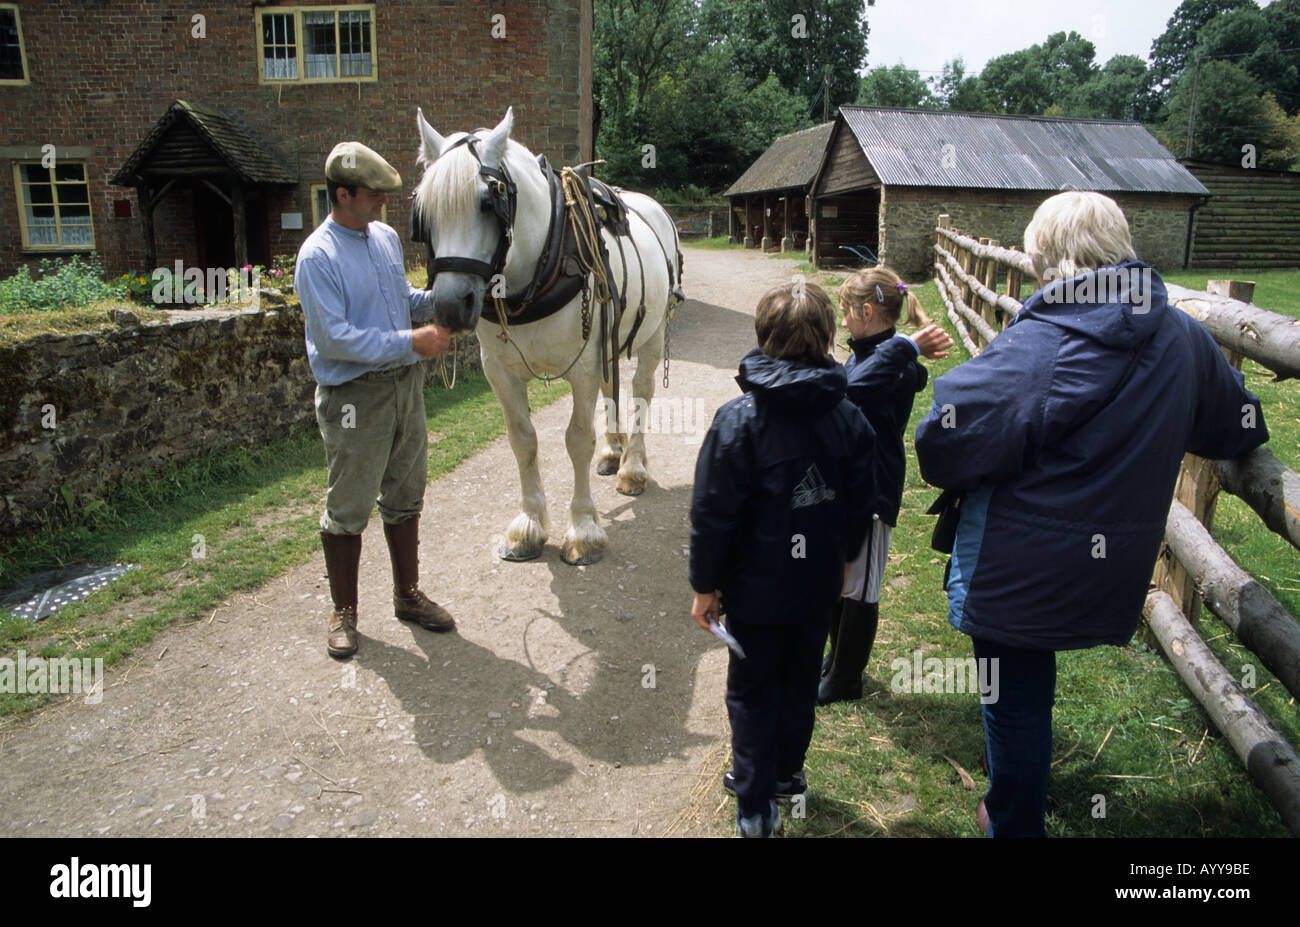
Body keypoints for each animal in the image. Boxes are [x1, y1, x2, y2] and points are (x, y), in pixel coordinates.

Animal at [413, 111, 681, 566]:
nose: (450, 306)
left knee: (642, 390)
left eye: (488, 203)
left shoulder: (582, 367)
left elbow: (577, 439)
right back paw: (614, 452)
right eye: (425, 209)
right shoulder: (500, 372)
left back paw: (633, 466)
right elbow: (523, 441)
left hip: (652, 333)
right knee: (612, 387)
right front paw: (529, 526)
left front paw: (584, 530)